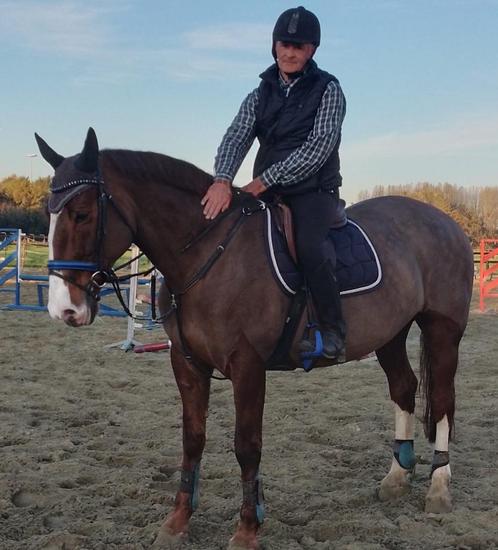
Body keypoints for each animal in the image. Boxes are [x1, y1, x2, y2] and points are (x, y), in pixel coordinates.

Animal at [36, 127, 474, 548]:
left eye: (81, 213)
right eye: (48, 214)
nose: (63, 309)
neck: (208, 254)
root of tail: (447, 222)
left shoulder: (247, 367)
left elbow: (247, 447)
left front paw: (247, 530)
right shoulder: (187, 363)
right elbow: (192, 440)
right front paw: (177, 523)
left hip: (442, 331)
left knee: (443, 401)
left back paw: (439, 486)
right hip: (391, 335)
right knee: (404, 388)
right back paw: (397, 476)